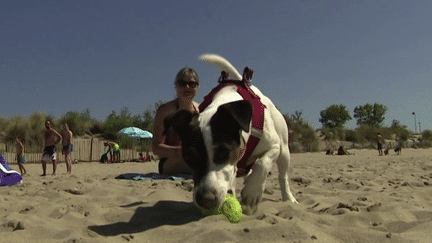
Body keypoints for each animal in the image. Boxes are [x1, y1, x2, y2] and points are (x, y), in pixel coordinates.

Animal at [164, 53, 298, 215]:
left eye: (223, 151)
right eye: (188, 157)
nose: (205, 200)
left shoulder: (274, 145)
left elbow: (262, 163)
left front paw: (252, 192)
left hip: (284, 151)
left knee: (282, 176)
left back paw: (288, 197)